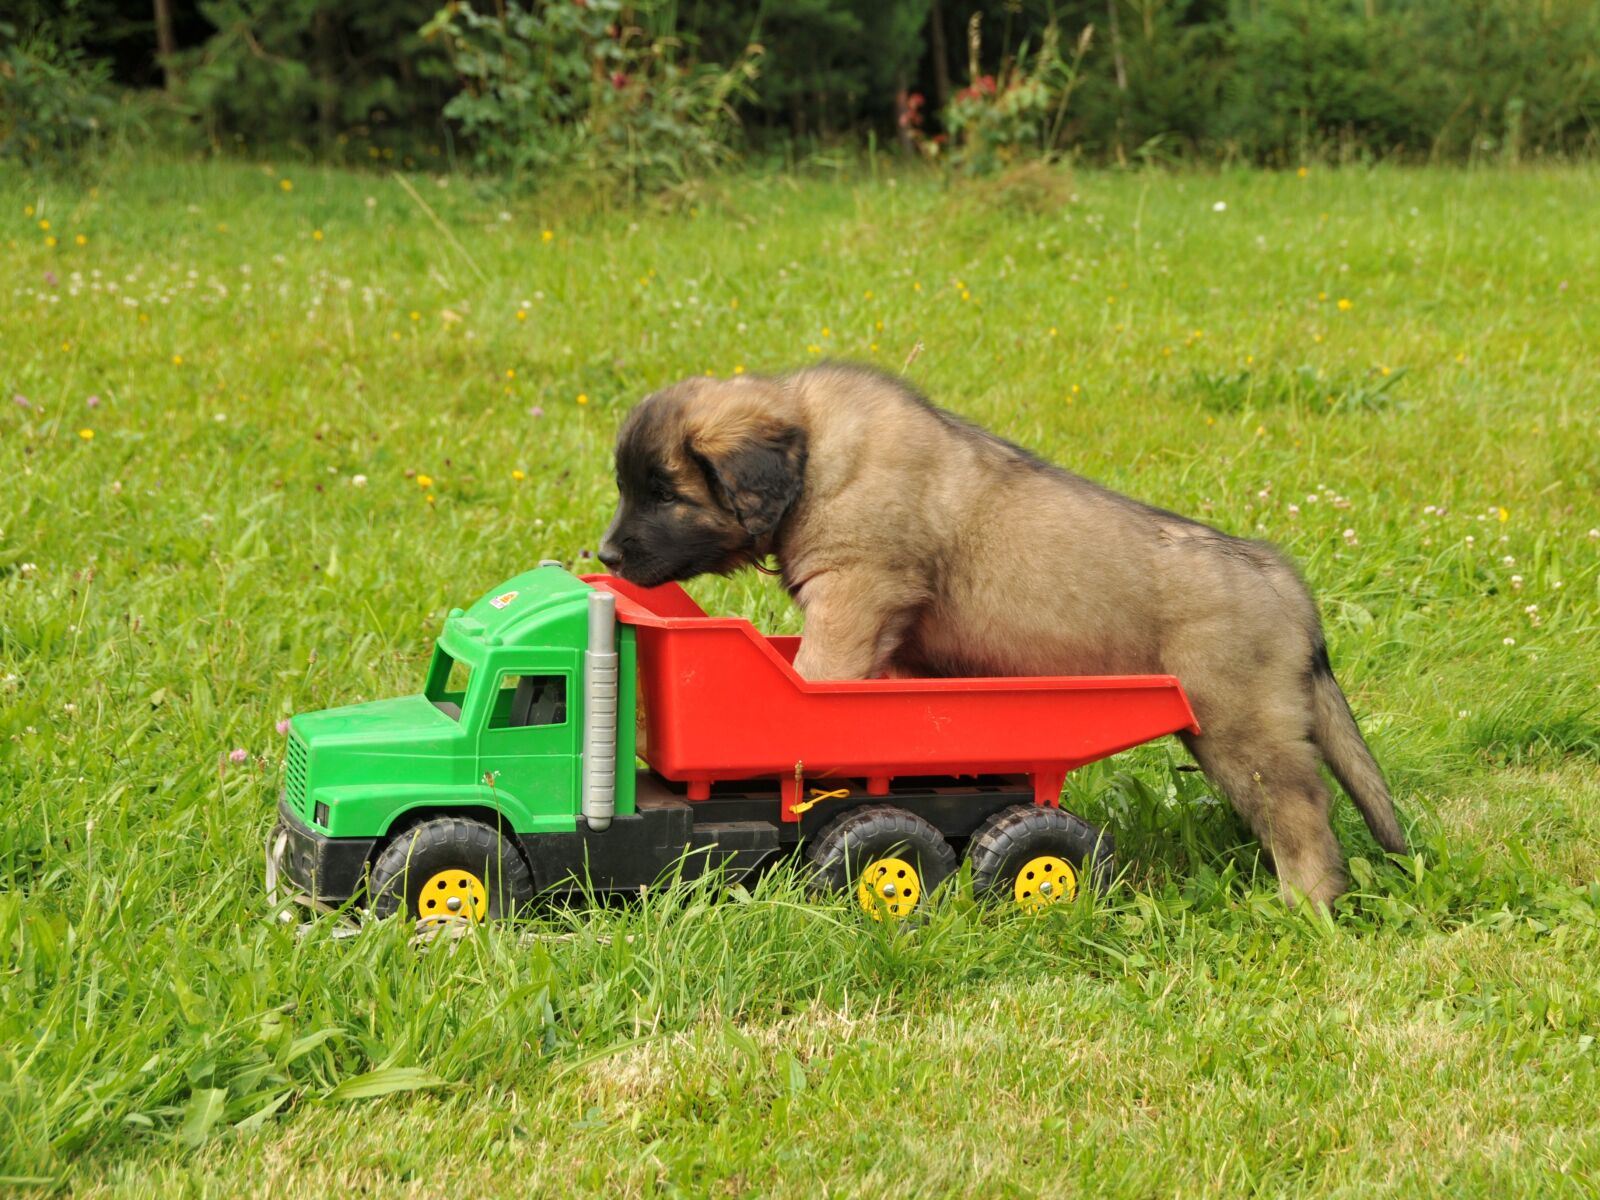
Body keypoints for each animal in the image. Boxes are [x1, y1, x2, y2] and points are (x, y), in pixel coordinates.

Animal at [601, 361, 1401, 908]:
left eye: (665, 493)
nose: (605, 556)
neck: (815, 455)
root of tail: (1283, 581)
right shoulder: (892, 635)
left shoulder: (855, 589)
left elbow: (820, 681)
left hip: (1242, 727)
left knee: (1301, 812)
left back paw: (1304, 901)